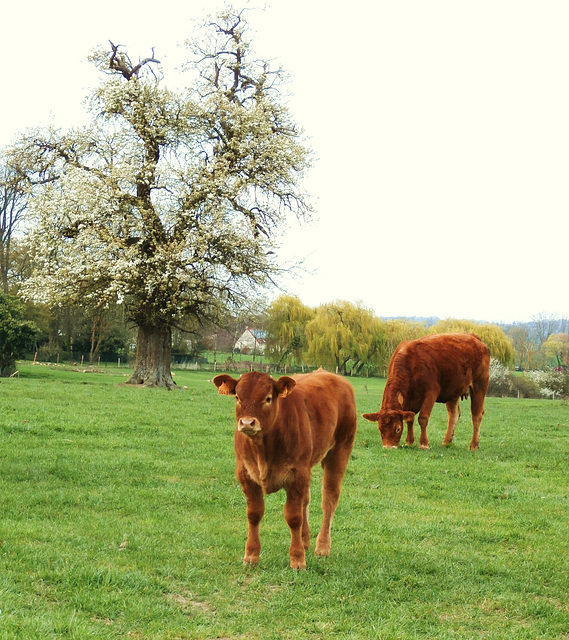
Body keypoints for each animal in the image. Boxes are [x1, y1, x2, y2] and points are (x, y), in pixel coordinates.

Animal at [213, 370, 356, 568]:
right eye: (237, 397)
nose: (247, 423)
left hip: (340, 449)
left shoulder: (296, 475)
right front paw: (251, 555)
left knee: (329, 499)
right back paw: (304, 540)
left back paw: (322, 546)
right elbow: (254, 514)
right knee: (306, 500)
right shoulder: (245, 475)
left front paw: (297, 559)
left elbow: (293, 517)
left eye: (267, 398)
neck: (263, 451)